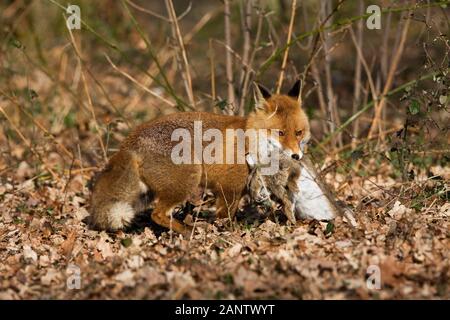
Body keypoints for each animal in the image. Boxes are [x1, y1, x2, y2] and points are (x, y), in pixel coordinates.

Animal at [89, 80, 312, 238]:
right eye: (280, 133)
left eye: (298, 132)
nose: (296, 155)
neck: (249, 140)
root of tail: (131, 138)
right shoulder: (229, 188)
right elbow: (225, 216)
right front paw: (230, 232)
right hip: (188, 179)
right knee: (157, 214)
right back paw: (188, 231)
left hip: (146, 192)